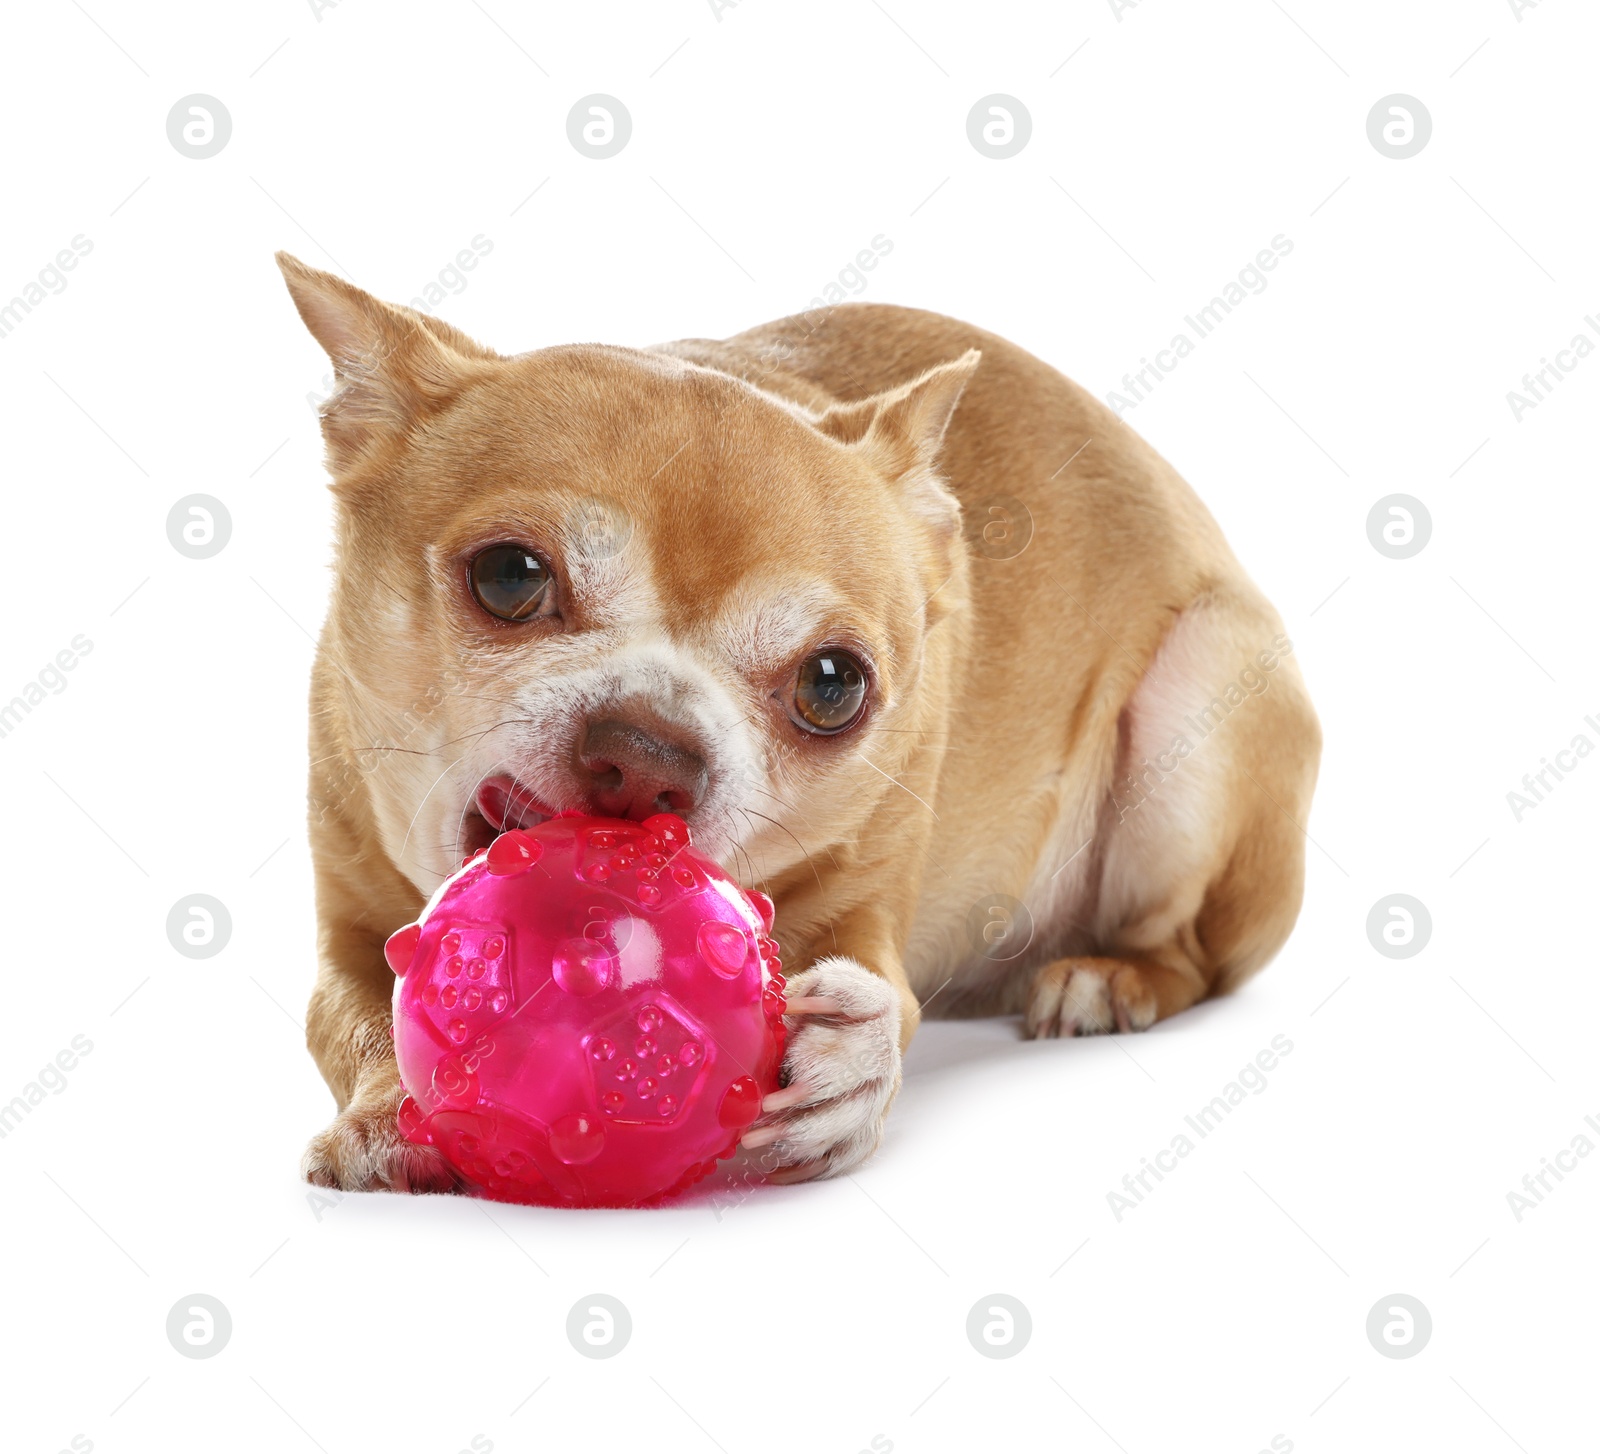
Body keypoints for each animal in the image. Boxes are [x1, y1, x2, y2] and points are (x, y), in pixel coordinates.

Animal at [278, 252, 1324, 1190]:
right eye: (509, 577)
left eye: (832, 686)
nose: (648, 753)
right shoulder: (345, 933)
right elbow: (349, 1017)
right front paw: (385, 1114)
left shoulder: (875, 903)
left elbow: (884, 992)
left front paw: (850, 1066)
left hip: (1202, 690)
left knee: (1192, 954)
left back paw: (1110, 977)